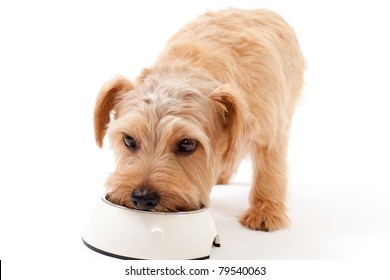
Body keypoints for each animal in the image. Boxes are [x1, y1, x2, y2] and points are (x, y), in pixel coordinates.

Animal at [93, 8, 304, 232]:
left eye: (187, 144)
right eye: (129, 140)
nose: (142, 198)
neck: (188, 67)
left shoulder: (271, 132)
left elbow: (269, 170)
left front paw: (265, 211)